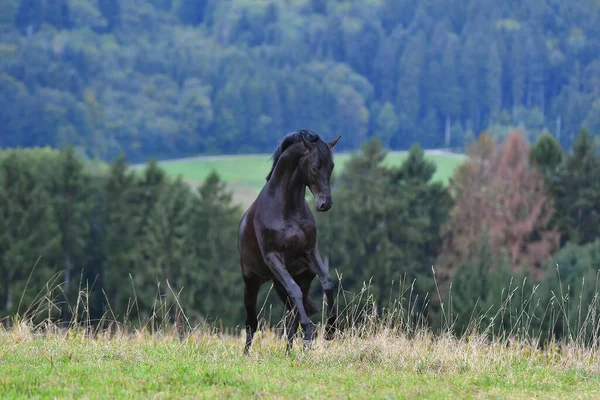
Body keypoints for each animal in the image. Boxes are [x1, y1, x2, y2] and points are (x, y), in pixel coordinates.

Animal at [239, 130, 342, 352]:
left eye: (331, 167)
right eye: (314, 167)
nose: (325, 204)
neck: (286, 209)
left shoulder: (310, 252)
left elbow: (327, 282)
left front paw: (330, 330)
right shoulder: (273, 258)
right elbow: (294, 291)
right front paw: (310, 332)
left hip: (296, 279)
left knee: (292, 316)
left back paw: (290, 351)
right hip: (252, 281)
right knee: (252, 322)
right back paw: (246, 354)